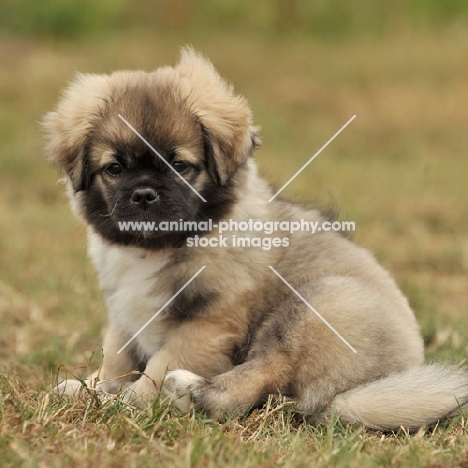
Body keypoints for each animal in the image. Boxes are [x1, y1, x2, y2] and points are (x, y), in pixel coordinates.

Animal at [42, 48, 466, 432]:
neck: (155, 251)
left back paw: (184, 389)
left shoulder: (207, 326)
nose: (144, 194)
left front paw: (122, 402)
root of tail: (361, 392)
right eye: (114, 169)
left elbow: (157, 368)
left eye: (180, 166)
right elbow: (115, 359)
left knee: (256, 380)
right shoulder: (124, 317)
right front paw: (91, 387)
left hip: (322, 302)